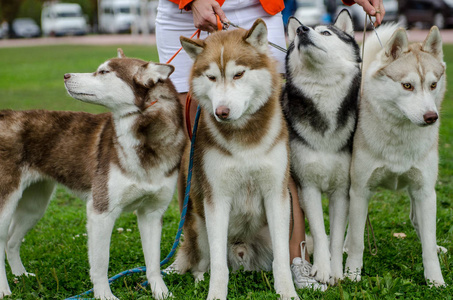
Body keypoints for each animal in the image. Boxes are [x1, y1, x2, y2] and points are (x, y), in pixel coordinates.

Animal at [0, 49, 185, 300]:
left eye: (104, 72)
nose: (66, 75)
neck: (145, 143)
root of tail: (5, 114)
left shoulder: (152, 213)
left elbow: (154, 264)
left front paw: (161, 293)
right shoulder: (101, 212)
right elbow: (100, 264)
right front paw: (104, 295)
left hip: (34, 207)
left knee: (10, 241)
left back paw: (21, 276)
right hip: (6, 206)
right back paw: (4, 290)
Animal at [172, 19, 296, 300]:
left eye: (238, 74)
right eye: (211, 77)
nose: (222, 112)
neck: (244, 138)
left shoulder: (277, 194)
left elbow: (282, 258)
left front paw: (287, 291)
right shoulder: (216, 198)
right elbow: (218, 264)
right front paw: (216, 294)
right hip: (198, 226)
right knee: (201, 263)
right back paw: (199, 279)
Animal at [282, 10, 360, 284]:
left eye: (326, 32)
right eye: (296, 37)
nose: (301, 30)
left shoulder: (342, 191)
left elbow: (335, 236)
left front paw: (336, 270)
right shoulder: (308, 187)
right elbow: (317, 228)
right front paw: (322, 268)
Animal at [346, 24, 444, 288]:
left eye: (433, 85)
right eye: (407, 85)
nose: (432, 117)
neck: (399, 137)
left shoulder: (424, 191)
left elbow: (428, 243)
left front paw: (436, 280)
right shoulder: (360, 191)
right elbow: (358, 240)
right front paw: (352, 274)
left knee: (417, 221)